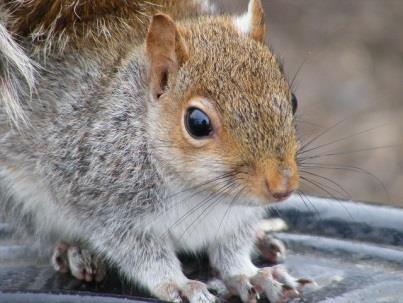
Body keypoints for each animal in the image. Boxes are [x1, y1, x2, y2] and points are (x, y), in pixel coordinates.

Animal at [0, 0, 310, 302]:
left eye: (293, 101)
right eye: (198, 123)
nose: (283, 186)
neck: (200, 190)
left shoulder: (236, 218)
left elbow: (232, 249)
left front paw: (251, 275)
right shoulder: (109, 208)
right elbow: (143, 255)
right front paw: (180, 285)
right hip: (23, 199)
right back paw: (74, 251)